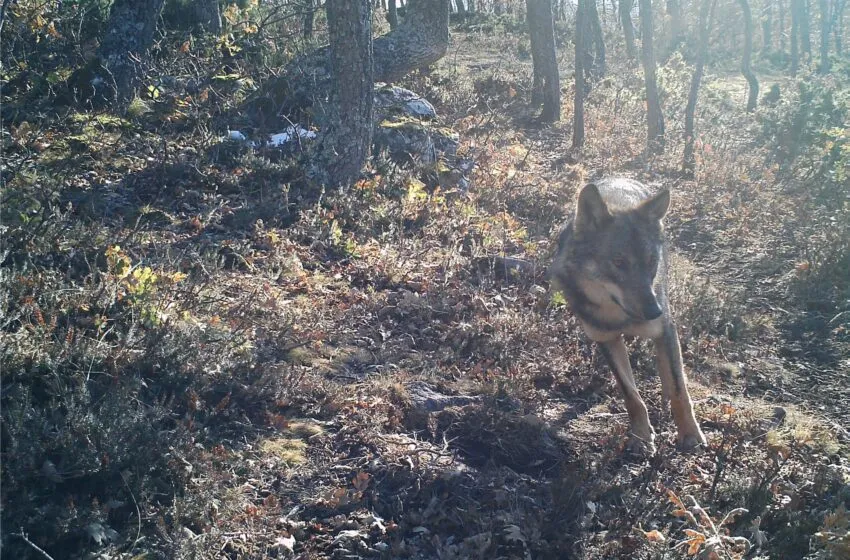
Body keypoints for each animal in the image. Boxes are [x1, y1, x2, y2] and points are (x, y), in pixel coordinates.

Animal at [551, 177, 706, 453]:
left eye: (651, 262)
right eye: (618, 262)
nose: (654, 311)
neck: (620, 317)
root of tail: (622, 177)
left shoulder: (665, 327)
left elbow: (679, 389)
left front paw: (690, 434)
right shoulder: (606, 339)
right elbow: (631, 394)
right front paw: (642, 437)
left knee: (671, 371)